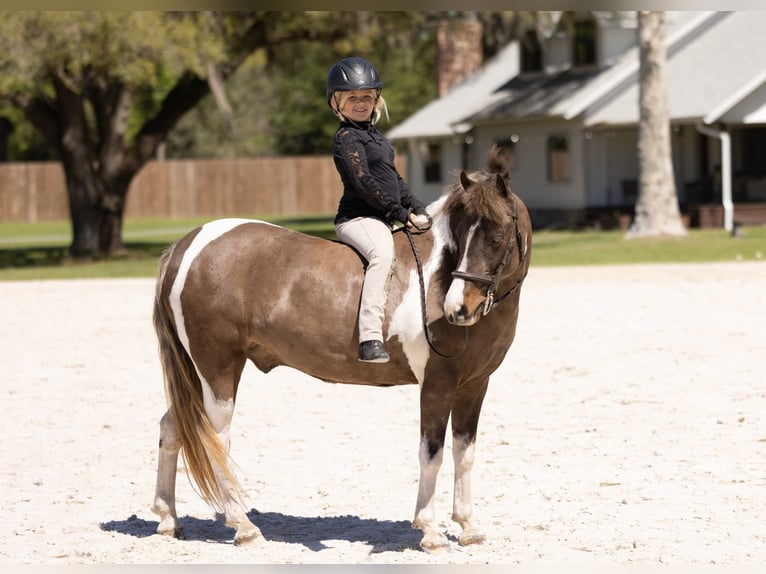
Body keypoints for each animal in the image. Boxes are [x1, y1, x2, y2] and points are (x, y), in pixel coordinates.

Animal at [151, 145, 532, 552]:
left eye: (495, 236)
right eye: (460, 235)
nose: (458, 309)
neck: (435, 277)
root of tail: (187, 246)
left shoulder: (473, 386)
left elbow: (465, 454)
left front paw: (468, 527)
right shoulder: (437, 384)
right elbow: (432, 454)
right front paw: (429, 531)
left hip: (198, 376)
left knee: (172, 427)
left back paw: (168, 520)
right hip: (218, 370)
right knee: (215, 440)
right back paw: (244, 527)